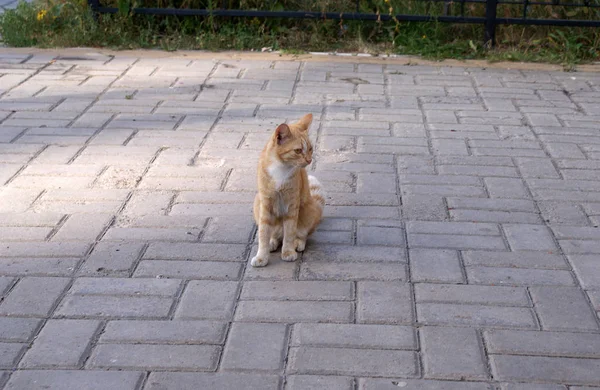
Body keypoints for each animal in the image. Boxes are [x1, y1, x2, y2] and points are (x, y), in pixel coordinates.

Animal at [251, 112, 326, 268]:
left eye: (311, 148)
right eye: (298, 151)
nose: (309, 160)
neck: (280, 168)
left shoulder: (292, 205)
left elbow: (290, 232)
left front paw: (288, 252)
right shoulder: (265, 204)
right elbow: (263, 233)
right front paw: (262, 256)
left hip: (310, 210)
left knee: (302, 234)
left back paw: (297, 243)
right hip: (257, 203)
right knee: (274, 235)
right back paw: (272, 241)